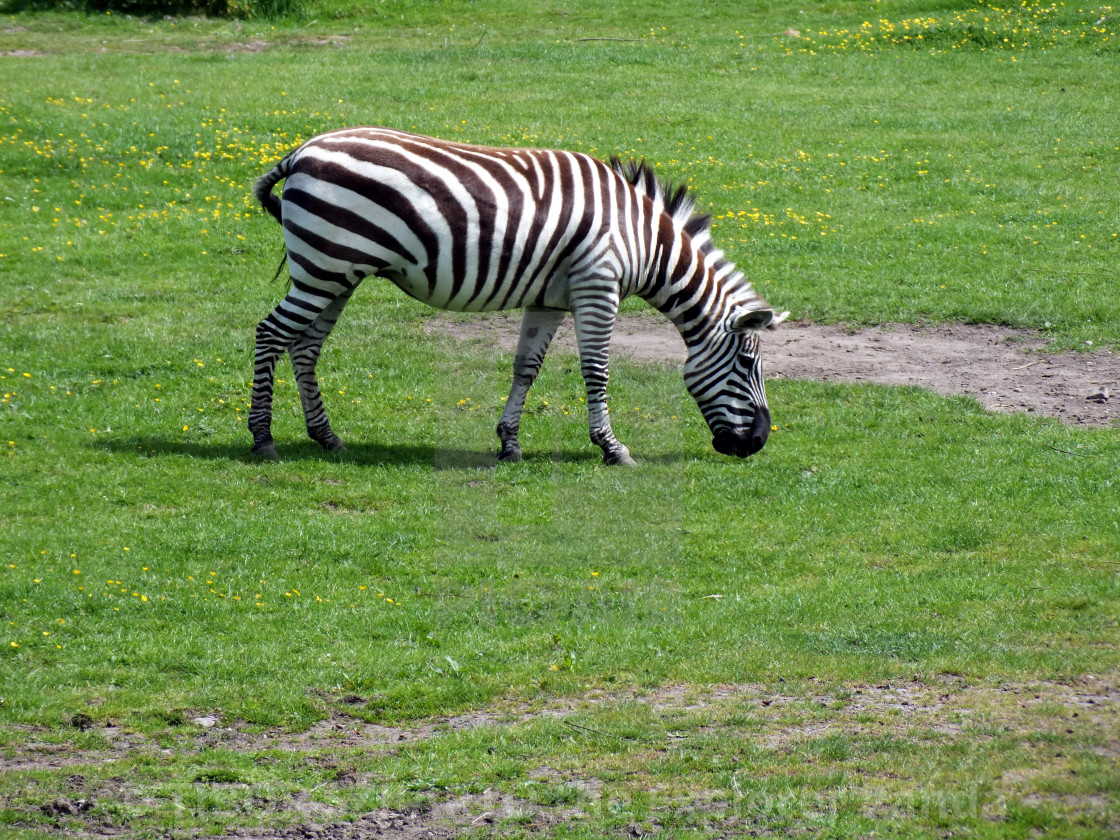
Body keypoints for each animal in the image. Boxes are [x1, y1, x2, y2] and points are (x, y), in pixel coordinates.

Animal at [252, 129, 788, 468]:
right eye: (748, 364)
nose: (759, 442)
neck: (642, 239)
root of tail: (301, 152)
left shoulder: (550, 299)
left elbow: (525, 367)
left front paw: (509, 444)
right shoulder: (597, 286)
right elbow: (597, 371)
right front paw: (613, 449)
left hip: (337, 274)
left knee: (305, 346)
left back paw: (327, 438)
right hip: (324, 269)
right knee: (270, 333)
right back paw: (262, 440)